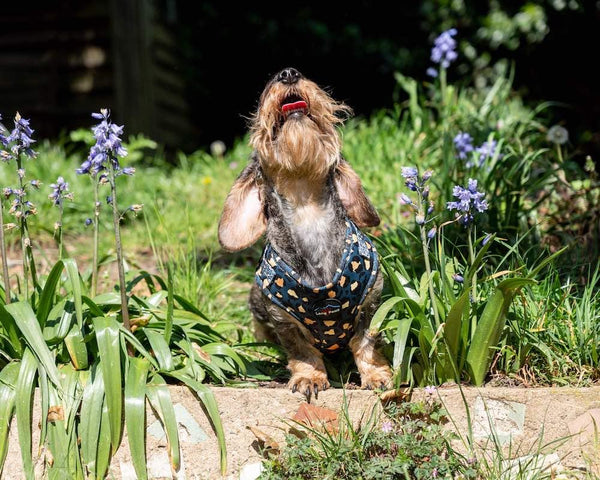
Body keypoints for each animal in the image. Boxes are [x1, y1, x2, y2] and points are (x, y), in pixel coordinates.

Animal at [218, 65, 392, 400]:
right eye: (264, 90)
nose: (287, 73)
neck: (306, 208)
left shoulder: (371, 303)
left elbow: (365, 342)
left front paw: (377, 375)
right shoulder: (282, 318)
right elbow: (301, 351)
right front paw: (309, 378)